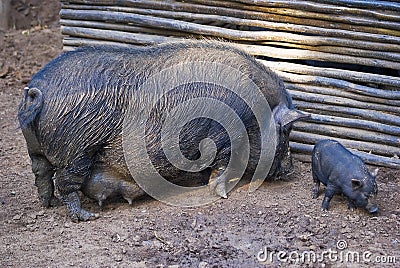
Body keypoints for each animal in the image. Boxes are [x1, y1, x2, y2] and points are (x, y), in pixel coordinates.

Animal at [18, 39, 306, 220]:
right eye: (285, 132)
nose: (291, 169)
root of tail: (36, 91)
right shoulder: (225, 138)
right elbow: (223, 169)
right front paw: (222, 194)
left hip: (38, 150)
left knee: (41, 174)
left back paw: (48, 204)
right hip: (77, 150)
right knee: (64, 182)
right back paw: (86, 217)